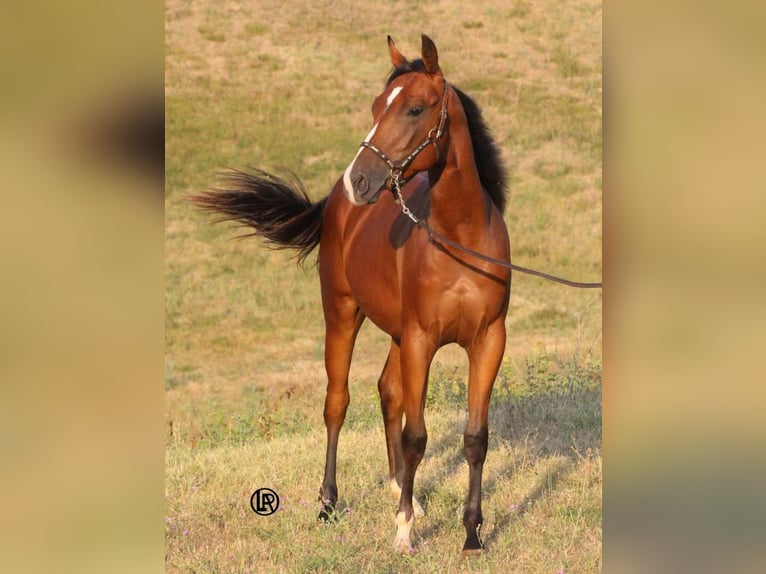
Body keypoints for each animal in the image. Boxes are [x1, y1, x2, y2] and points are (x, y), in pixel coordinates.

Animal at [193, 34, 511, 556]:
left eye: (415, 108)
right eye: (376, 106)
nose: (359, 180)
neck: (460, 240)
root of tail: (335, 203)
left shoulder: (487, 342)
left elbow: (475, 438)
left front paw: (471, 536)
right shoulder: (421, 340)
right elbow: (417, 436)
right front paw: (404, 533)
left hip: (396, 334)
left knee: (387, 392)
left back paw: (405, 493)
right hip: (343, 314)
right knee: (337, 403)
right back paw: (329, 504)